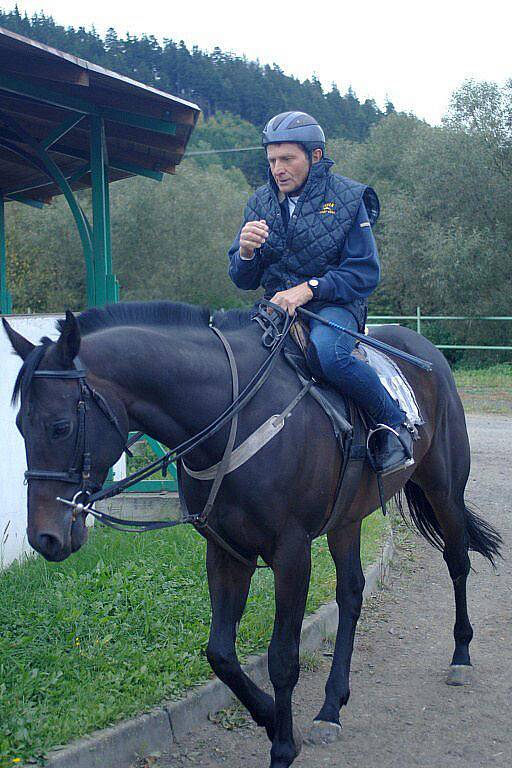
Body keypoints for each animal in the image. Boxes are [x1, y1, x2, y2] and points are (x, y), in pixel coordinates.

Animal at [2, 304, 502, 768]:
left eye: (60, 426)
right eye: (20, 427)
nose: (45, 537)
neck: (232, 415)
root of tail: (426, 352)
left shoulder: (291, 553)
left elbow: (282, 659)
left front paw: (281, 746)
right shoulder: (226, 552)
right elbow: (221, 653)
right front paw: (273, 722)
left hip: (444, 489)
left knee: (457, 562)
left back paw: (460, 656)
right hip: (347, 520)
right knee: (352, 593)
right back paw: (330, 707)